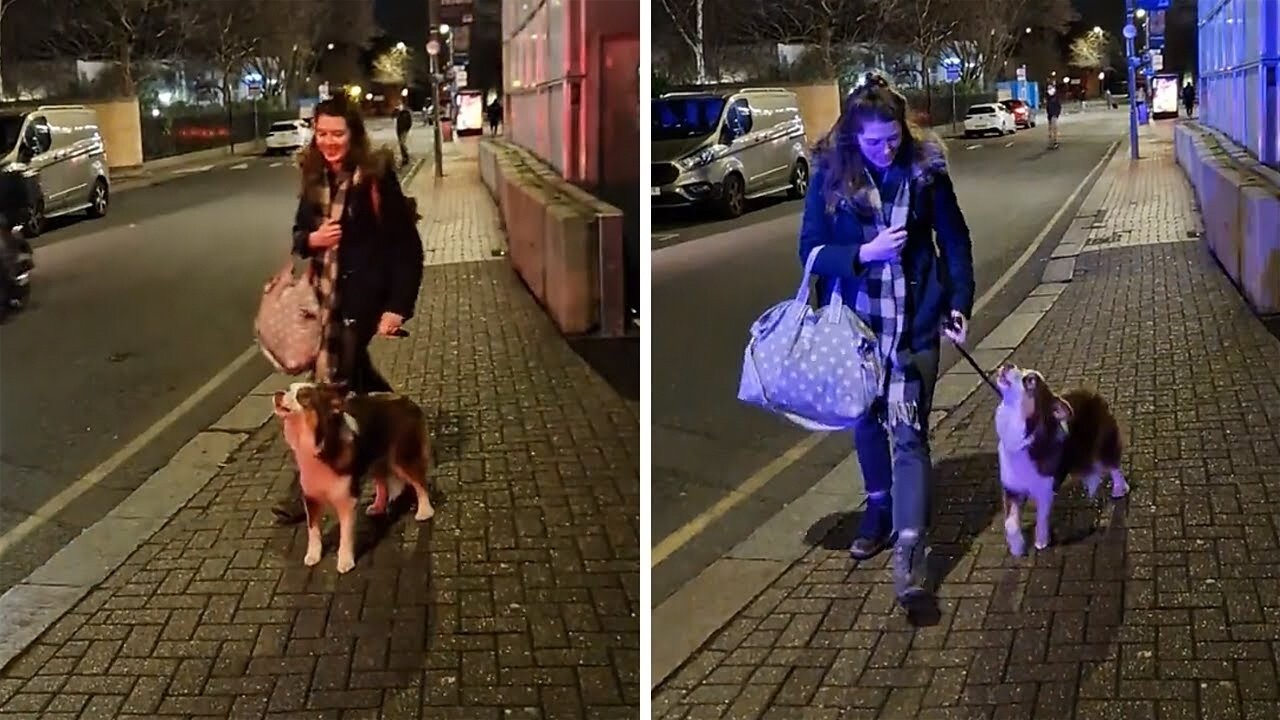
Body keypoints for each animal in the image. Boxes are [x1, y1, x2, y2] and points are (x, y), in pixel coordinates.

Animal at [271, 381, 435, 571]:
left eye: (302, 396)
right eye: (289, 389)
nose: (277, 393)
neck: (320, 444)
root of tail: (407, 400)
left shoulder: (347, 500)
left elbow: (346, 534)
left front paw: (345, 561)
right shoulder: (311, 496)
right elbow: (313, 530)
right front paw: (313, 556)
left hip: (402, 458)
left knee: (419, 482)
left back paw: (425, 511)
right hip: (374, 460)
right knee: (382, 482)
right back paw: (378, 506)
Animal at [993, 363, 1126, 556]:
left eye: (1030, 380)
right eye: (1020, 368)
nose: (1009, 364)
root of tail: (1090, 392)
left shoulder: (1045, 489)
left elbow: (1042, 517)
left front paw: (1041, 541)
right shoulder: (1012, 489)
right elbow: (1010, 523)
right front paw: (1017, 547)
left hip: (1101, 446)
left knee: (1113, 465)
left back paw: (1119, 488)